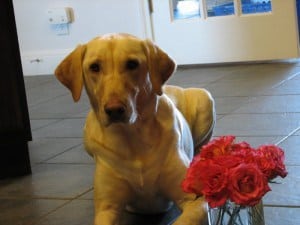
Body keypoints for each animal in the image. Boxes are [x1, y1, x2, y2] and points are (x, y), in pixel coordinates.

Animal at [55, 33, 214, 225]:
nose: (114, 110)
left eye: (132, 64)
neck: (132, 137)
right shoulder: (107, 207)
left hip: (204, 98)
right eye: (94, 67)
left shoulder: (194, 200)